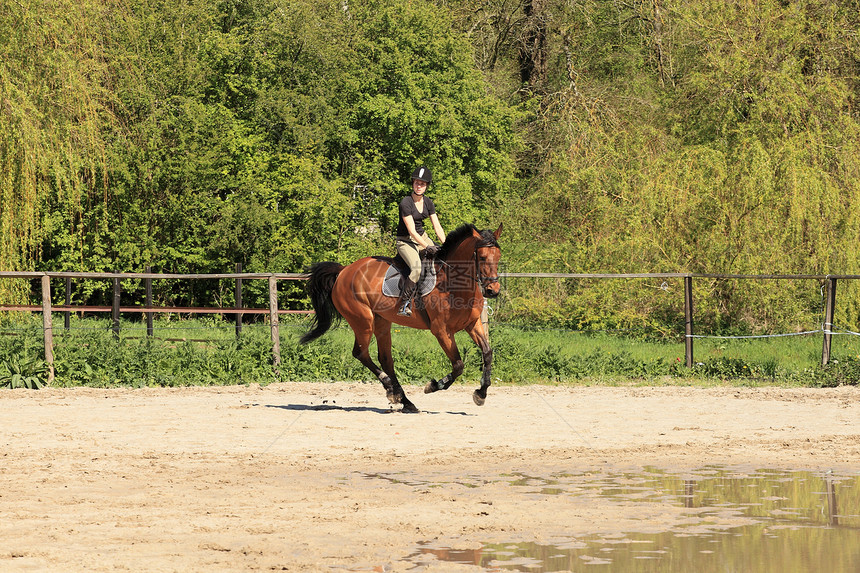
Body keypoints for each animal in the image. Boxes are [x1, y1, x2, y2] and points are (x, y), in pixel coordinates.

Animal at [302, 222, 504, 412]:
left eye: (498, 257)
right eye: (482, 257)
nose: (492, 291)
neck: (452, 283)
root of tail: (344, 270)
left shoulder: (473, 324)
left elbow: (488, 353)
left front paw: (481, 394)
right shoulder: (441, 331)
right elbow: (458, 365)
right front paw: (433, 386)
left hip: (381, 322)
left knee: (385, 359)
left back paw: (404, 400)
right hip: (363, 321)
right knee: (361, 353)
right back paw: (391, 388)